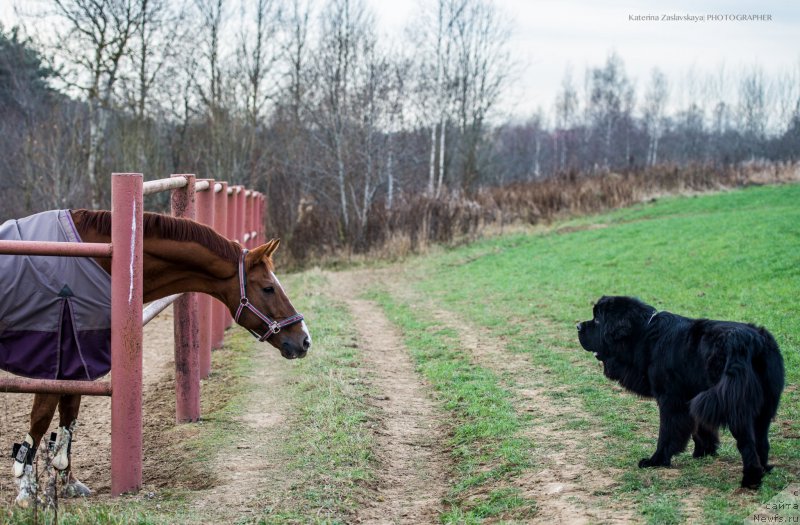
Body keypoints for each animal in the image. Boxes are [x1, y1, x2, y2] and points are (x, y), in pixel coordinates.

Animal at [7, 208, 310, 504]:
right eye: (268, 287)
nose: (304, 339)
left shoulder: (77, 358)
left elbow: (69, 416)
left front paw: (69, 482)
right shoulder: (54, 359)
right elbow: (42, 416)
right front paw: (26, 492)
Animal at [580, 294, 784, 488]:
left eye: (597, 320)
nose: (577, 326)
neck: (645, 335)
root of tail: (749, 341)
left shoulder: (670, 400)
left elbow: (667, 432)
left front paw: (657, 460)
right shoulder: (693, 396)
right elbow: (700, 427)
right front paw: (704, 452)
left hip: (734, 405)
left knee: (747, 443)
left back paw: (751, 480)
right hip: (763, 406)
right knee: (761, 440)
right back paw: (764, 469)